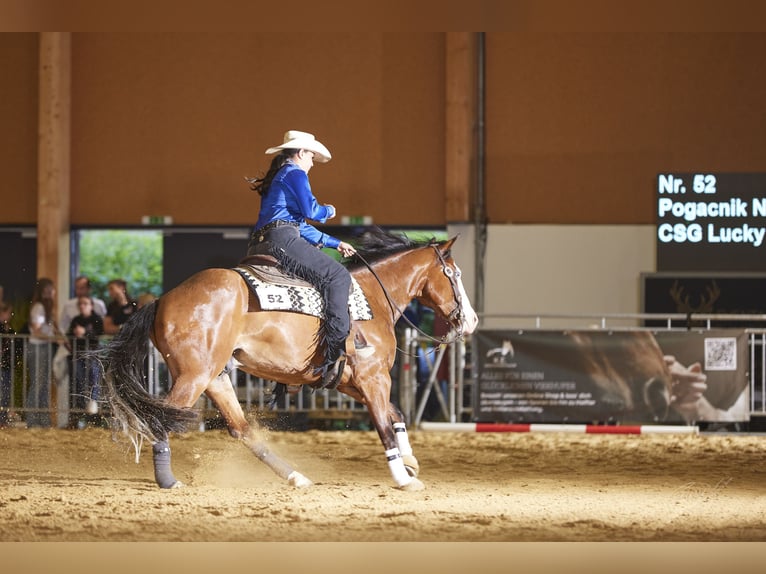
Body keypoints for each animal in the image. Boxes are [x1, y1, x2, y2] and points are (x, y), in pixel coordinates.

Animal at [100, 229, 478, 491]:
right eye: (456, 275)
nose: (472, 321)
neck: (373, 298)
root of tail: (162, 300)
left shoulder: (350, 381)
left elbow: (396, 414)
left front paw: (410, 460)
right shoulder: (373, 379)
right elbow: (384, 425)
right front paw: (403, 477)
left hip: (215, 377)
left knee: (242, 430)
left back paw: (296, 476)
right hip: (193, 376)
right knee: (160, 419)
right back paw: (168, 480)